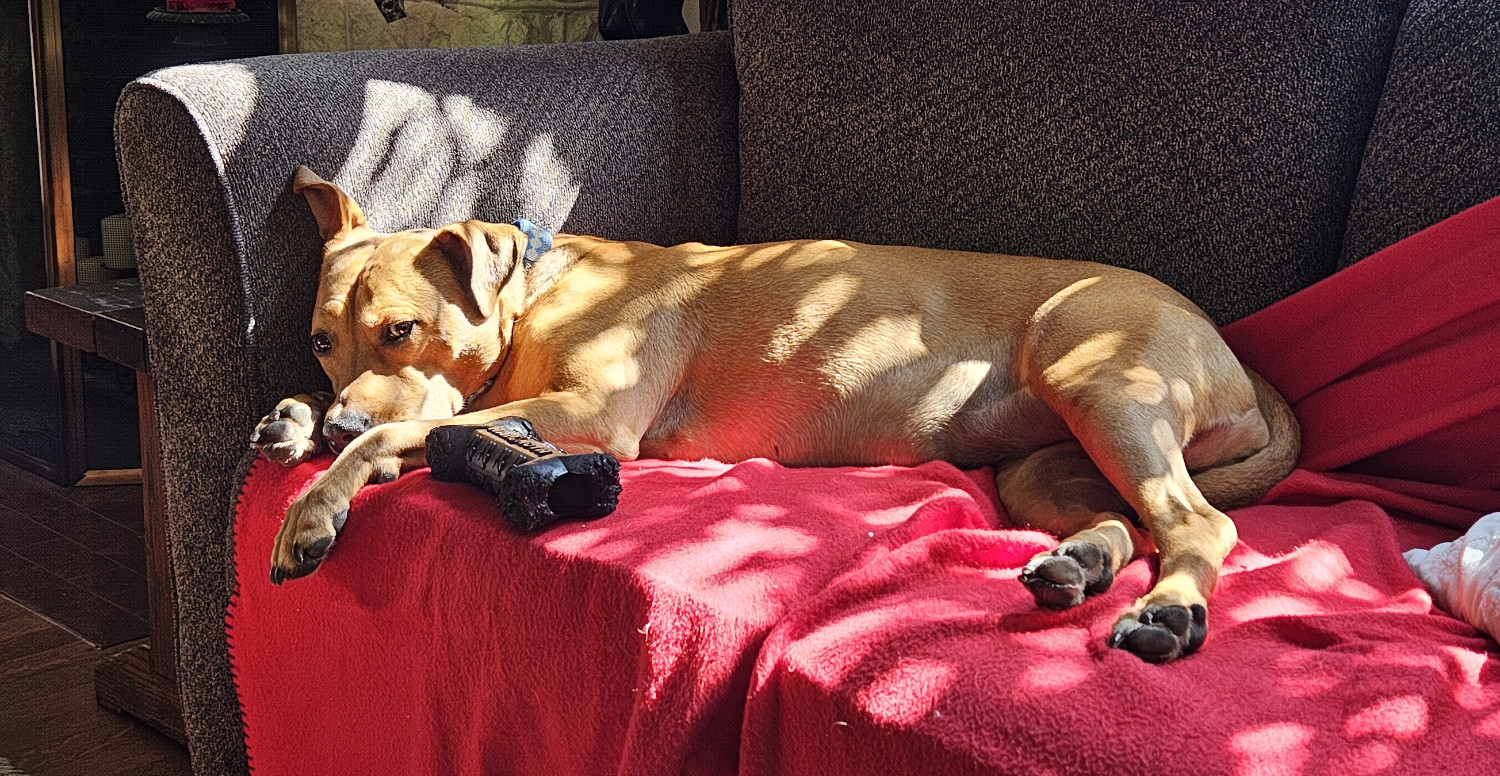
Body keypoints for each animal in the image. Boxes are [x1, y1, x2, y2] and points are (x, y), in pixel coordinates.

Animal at [252, 166, 1296, 663]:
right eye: (319, 340)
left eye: (402, 330)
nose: (333, 422)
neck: (533, 295)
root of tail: (1234, 355)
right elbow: (405, 424)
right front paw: (298, 421)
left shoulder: (590, 414)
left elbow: (406, 430)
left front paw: (317, 504)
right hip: (1041, 465)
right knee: (1128, 520)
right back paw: (1084, 563)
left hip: (1101, 385)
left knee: (1198, 521)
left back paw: (1169, 612)